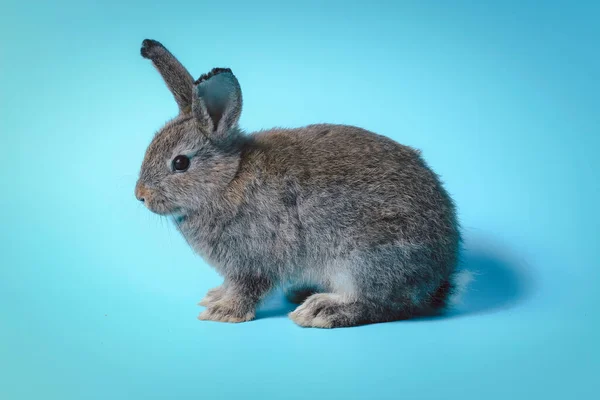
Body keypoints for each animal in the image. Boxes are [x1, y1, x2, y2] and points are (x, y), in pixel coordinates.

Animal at [135, 38, 464, 328]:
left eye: (180, 163)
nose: (140, 195)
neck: (228, 179)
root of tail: (441, 275)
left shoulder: (253, 260)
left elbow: (247, 289)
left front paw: (222, 312)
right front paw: (214, 297)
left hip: (366, 261)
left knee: (381, 303)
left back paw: (321, 310)